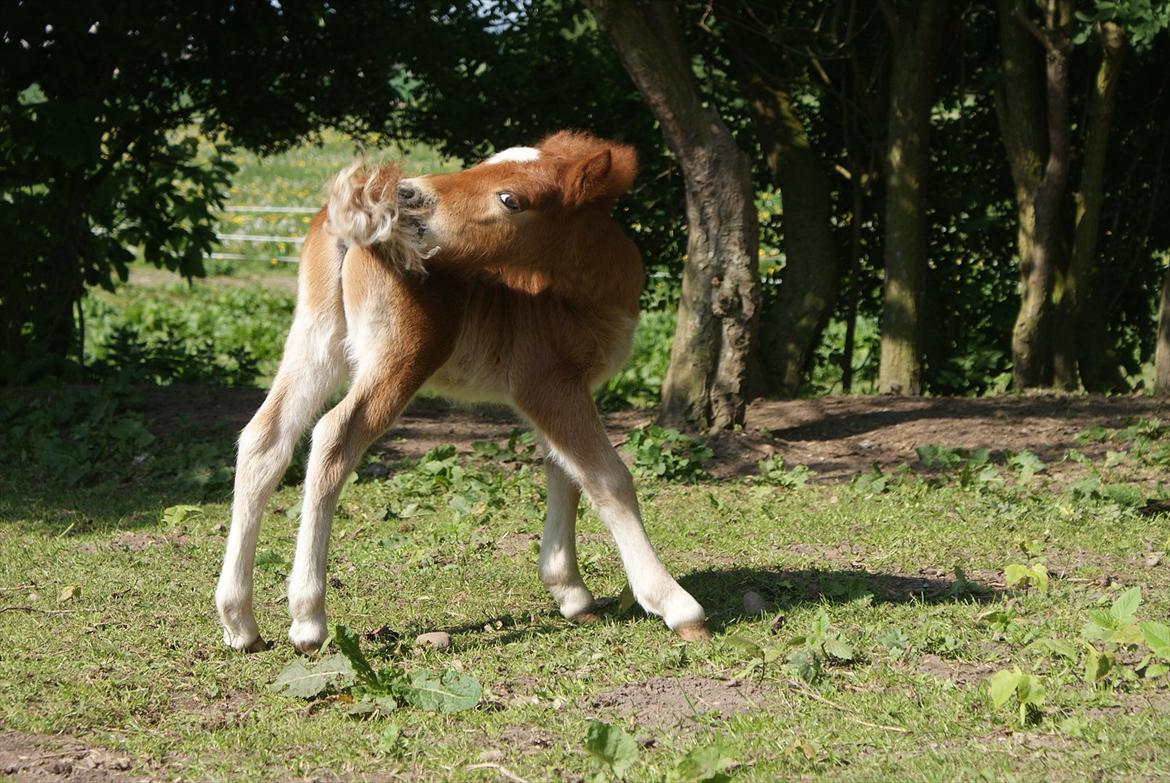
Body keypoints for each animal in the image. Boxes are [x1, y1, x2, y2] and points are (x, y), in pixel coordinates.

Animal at [215, 131, 706, 650]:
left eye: (510, 198)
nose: (408, 194)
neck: (577, 290)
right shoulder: (547, 382)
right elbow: (609, 479)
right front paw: (673, 602)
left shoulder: (560, 392)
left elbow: (564, 472)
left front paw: (571, 593)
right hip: (401, 355)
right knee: (333, 435)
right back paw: (308, 619)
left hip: (316, 340)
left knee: (264, 439)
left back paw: (240, 622)